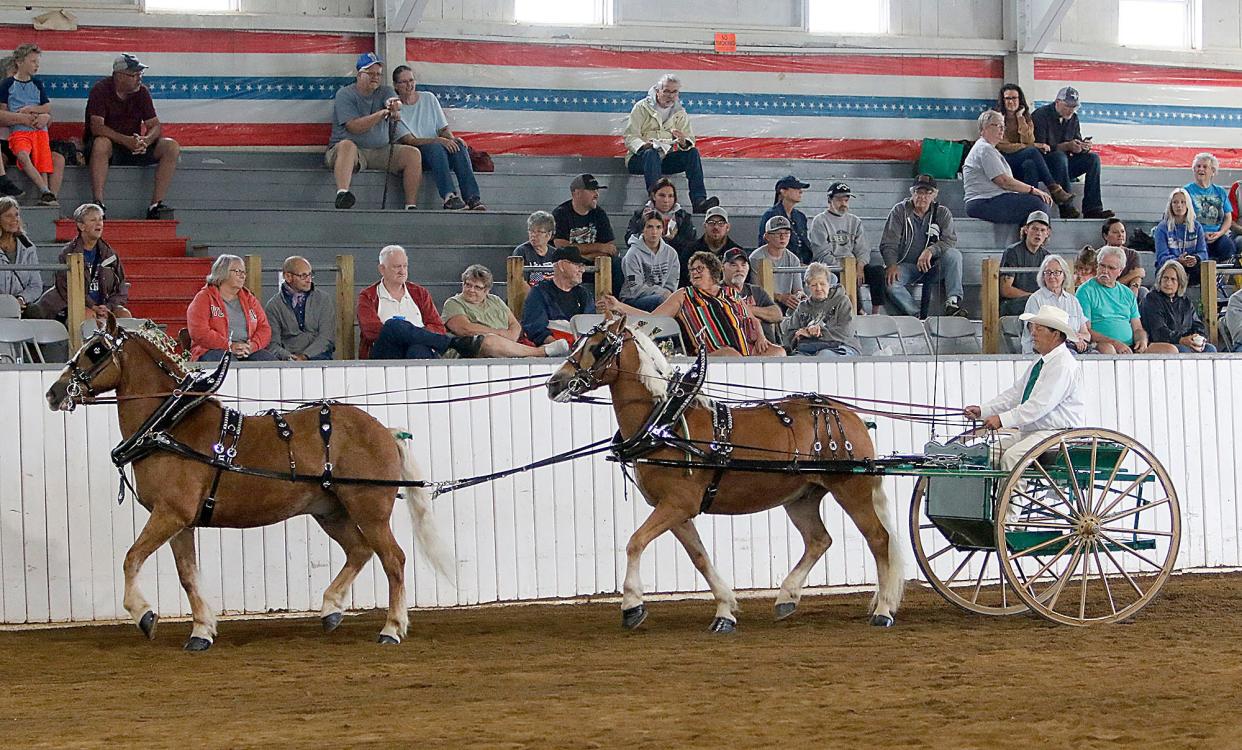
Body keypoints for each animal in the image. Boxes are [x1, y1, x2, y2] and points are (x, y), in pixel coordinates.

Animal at [45, 316, 452, 650]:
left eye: (96, 350)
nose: (53, 393)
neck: (170, 425)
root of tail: (383, 430)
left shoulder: (170, 514)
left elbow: (131, 558)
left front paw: (144, 614)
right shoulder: (179, 521)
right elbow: (188, 575)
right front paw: (202, 630)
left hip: (369, 509)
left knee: (393, 559)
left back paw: (391, 628)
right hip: (330, 511)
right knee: (360, 552)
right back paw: (331, 609)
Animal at [548, 316, 909, 633]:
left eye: (598, 347)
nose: (554, 384)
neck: (665, 423)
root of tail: (850, 415)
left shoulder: (677, 504)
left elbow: (635, 543)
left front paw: (632, 606)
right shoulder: (675, 510)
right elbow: (699, 557)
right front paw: (725, 610)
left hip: (851, 489)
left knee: (879, 539)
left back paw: (883, 609)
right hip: (801, 496)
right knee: (818, 540)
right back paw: (787, 598)